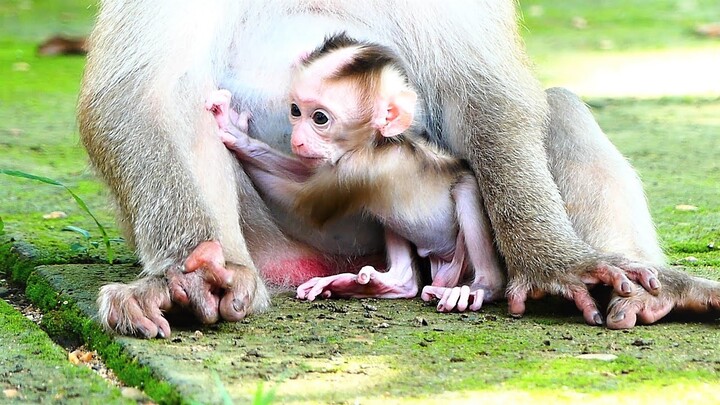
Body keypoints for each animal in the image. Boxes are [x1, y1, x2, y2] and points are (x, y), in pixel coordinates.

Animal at [205, 34, 504, 312]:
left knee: (467, 191)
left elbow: (304, 203)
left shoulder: (359, 168)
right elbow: (305, 174)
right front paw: (238, 135)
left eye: (320, 118)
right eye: (295, 110)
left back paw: (480, 288)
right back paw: (389, 282)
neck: (376, 144)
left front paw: (231, 131)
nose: (297, 140)